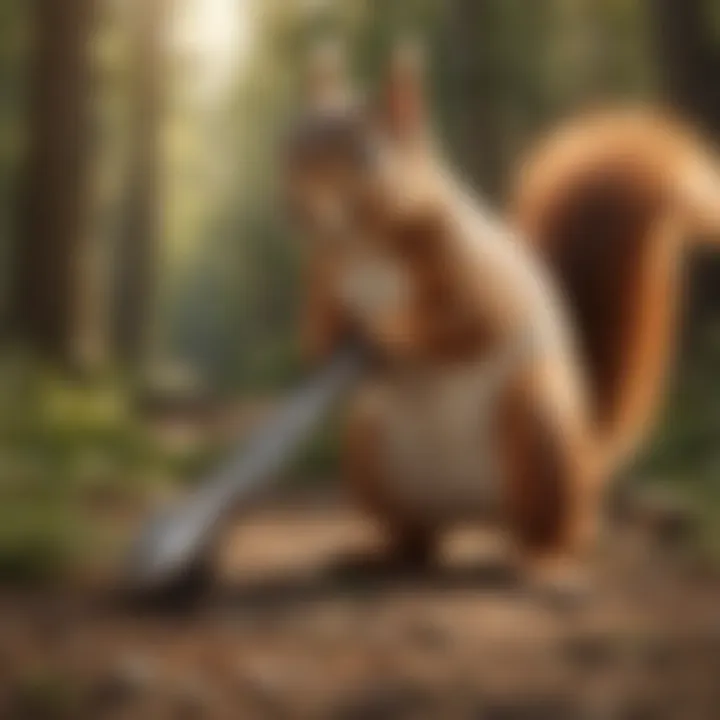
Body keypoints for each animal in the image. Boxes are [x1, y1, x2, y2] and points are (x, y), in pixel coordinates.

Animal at [284, 44, 720, 594]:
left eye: (361, 155)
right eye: (291, 146)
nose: (298, 208)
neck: (362, 243)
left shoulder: (473, 276)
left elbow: (464, 324)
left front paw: (390, 334)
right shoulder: (321, 278)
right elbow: (318, 327)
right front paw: (327, 348)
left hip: (538, 424)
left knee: (554, 531)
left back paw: (546, 565)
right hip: (367, 445)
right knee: (419, 545)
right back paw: (377, 556)